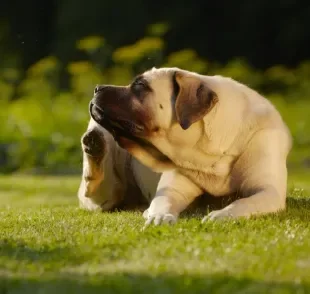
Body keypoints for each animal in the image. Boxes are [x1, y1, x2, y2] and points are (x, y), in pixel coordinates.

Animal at [78, 67, 292, 227]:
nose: (97, 88)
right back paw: (94, 144)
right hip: (104, 190)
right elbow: (162, 202)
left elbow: (242, 203)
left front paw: (222, 215)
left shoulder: (268, 191)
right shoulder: (172, 190)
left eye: (140, 85)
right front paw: (159, 216)